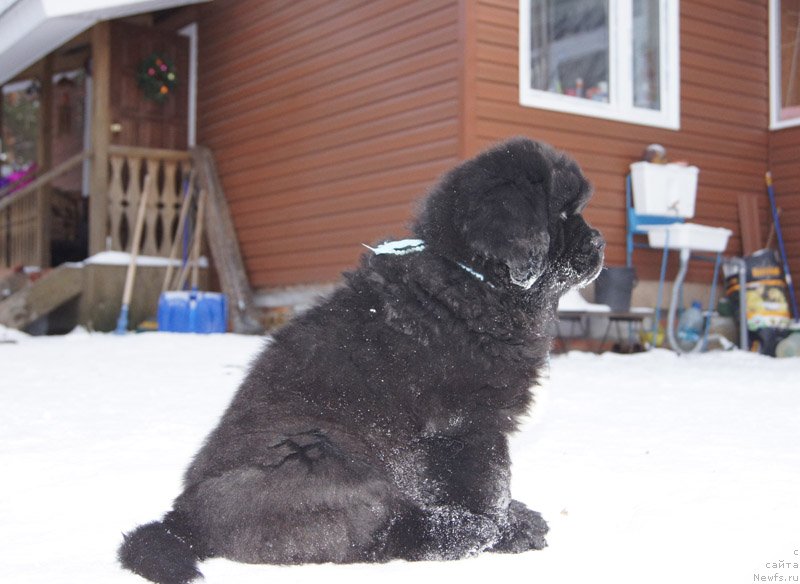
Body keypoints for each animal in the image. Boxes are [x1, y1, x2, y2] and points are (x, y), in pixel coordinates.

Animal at [119, 138, 604, 584]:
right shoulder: (469, 423)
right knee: (375, 536)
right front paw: (507, 530)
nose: (599, 240)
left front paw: (515, 519)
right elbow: (489, 485)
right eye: (562, 214)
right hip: (325, 458)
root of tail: (181, 516)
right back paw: (459, 533)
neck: (471, 277)